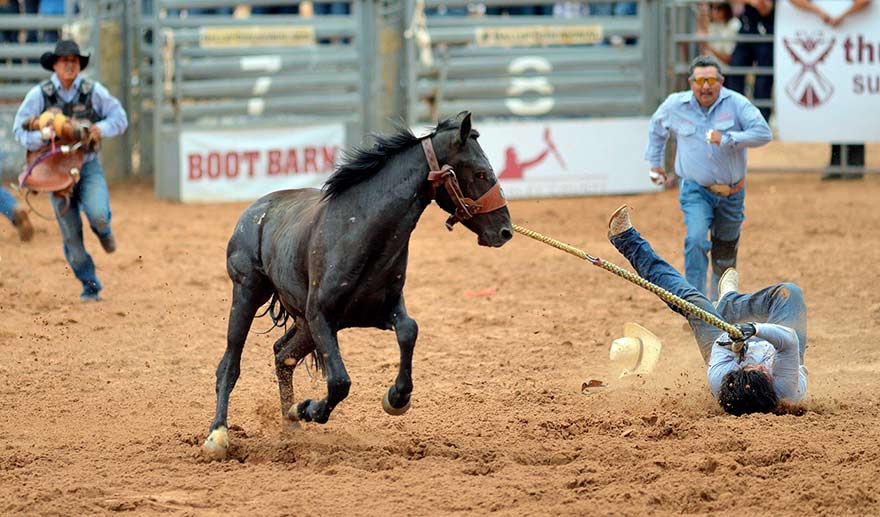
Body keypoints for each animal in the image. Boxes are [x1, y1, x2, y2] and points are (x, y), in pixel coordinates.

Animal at [202, 111, 512, 458]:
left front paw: (396, 399)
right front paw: (310, 408)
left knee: (283, 355)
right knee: (230, 365)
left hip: (302, 322)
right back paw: (218, 435)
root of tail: (254, 211)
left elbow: (409, 330)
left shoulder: (380, 310)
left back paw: (291, 426)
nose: (505, 230)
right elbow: (339, 381)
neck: (359, 230)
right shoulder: (321, 317)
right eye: (481, 172)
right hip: (247, 292)